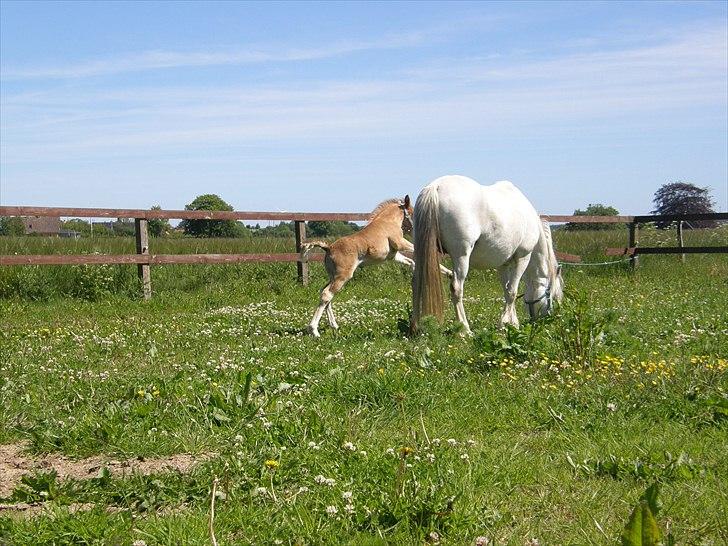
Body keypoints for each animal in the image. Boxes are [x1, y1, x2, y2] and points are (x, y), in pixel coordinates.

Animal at [410, 176, 564, 334]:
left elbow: (507, 290)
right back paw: (465, 329)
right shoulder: (523, 257)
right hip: (461, 256)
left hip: (419, 252)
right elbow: (512, 291)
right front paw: (505, 324)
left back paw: (415, 326)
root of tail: (435, 187)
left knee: (416, 282)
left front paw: (511, 322)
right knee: (456, 288)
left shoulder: (503, 265)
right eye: (553, 296)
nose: (546, 320)